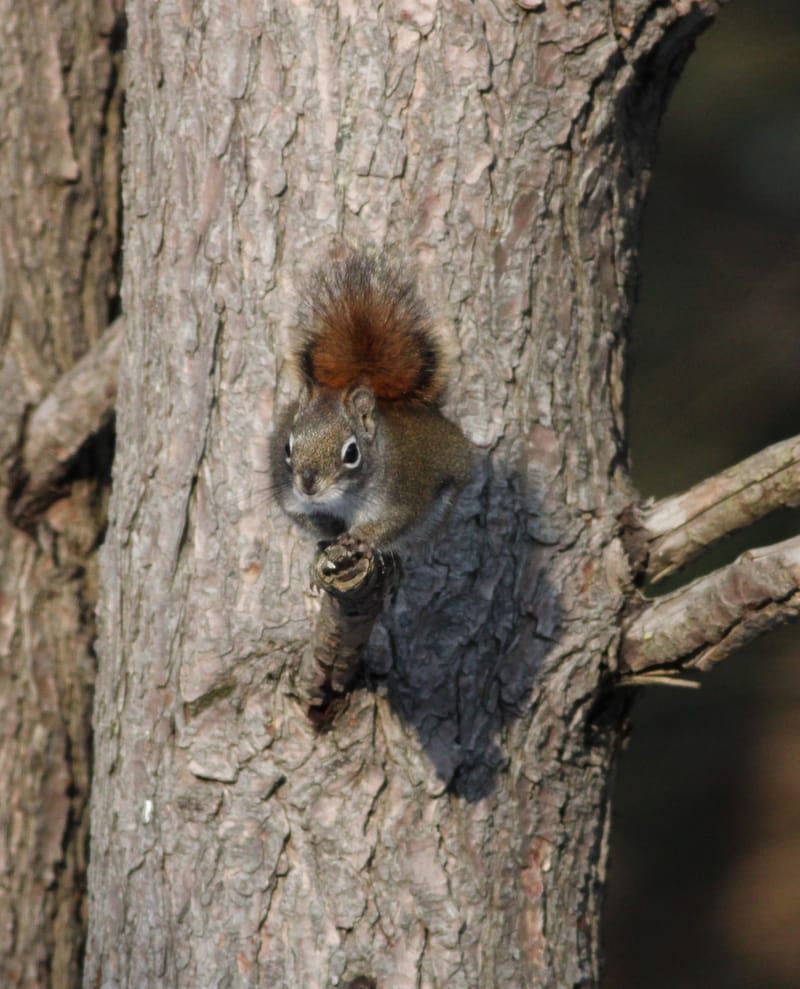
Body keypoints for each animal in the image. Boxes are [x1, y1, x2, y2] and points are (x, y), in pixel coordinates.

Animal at [270, 251, 472, 553]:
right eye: (287, 447)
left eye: (352, 453)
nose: (308, 485)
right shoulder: (289, 496)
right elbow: (303, 515)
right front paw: (328, 529)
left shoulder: (401, 500)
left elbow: (391, 525)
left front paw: (359, 537)